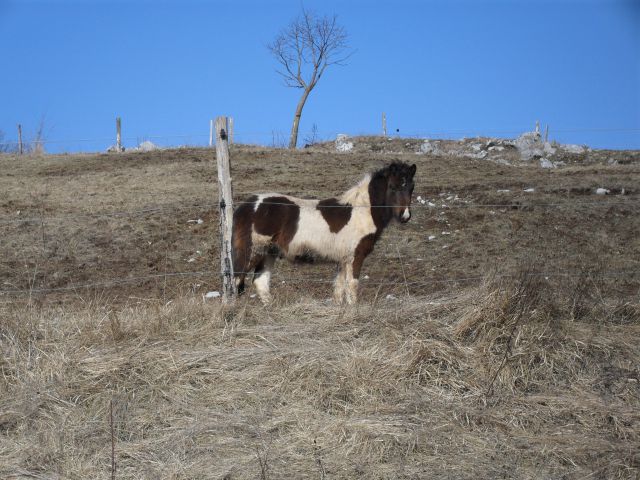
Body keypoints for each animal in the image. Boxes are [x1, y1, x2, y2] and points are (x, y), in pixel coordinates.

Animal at [232, 161, 418, 304]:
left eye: (411, 188)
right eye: (393, 187)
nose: (405, 216)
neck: (362, 210)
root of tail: (246, 207)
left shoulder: (343, 260)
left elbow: (339, 288)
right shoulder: (355, 257)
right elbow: (352, 285)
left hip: (268, 253)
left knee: (260, 282)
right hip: (253, 251)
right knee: (236, 279)